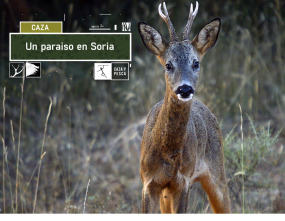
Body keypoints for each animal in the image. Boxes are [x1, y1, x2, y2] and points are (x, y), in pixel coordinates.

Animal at [138, 0, 231, 213]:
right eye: (168, 65)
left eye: (196, 63)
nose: (185, 88)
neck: (168, 154)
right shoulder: (148, 182)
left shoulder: (183, 181)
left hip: (217, 169)